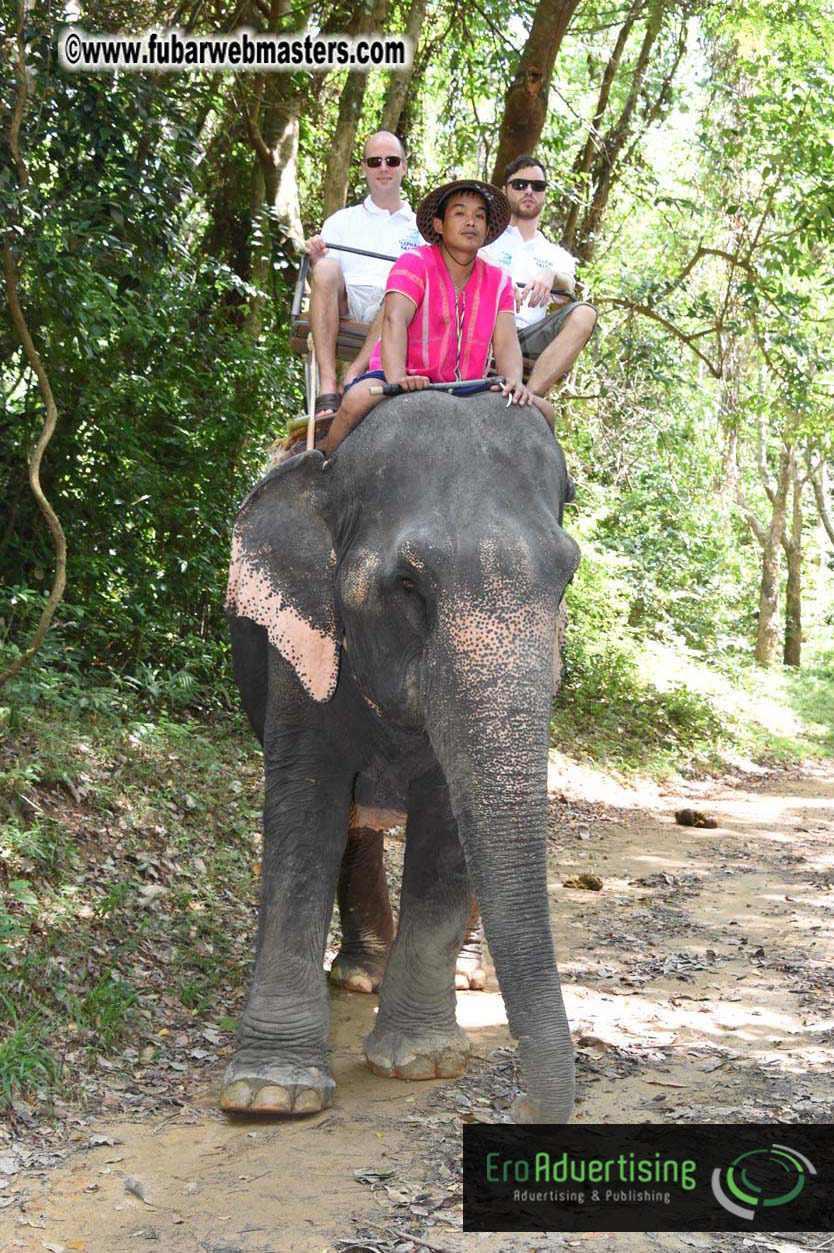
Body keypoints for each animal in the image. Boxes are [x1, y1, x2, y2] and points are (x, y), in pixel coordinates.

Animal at [222, 391, 580, 1122]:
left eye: (567, 577)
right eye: (409, 584)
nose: (524, 1111)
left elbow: (447, 827)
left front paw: (421, 1060)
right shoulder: (298, 647)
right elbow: (305, 812)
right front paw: (271, 1092)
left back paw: (464, 973)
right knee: (355, 825)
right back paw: (360, 974)